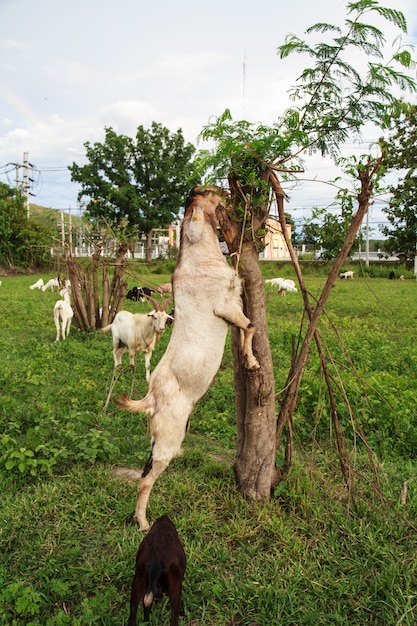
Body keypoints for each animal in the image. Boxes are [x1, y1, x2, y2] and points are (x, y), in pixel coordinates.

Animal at [116, 184, 260, 528]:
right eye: (210, 193)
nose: (229, 194)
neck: (200, 258)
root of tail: (150, 398)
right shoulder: (225, 307)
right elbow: (250, 326)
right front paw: (252, 361)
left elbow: (247, 328)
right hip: (169, 436)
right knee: (146, 479)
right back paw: (143, 523)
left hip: (160, 437)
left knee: (144, 470)